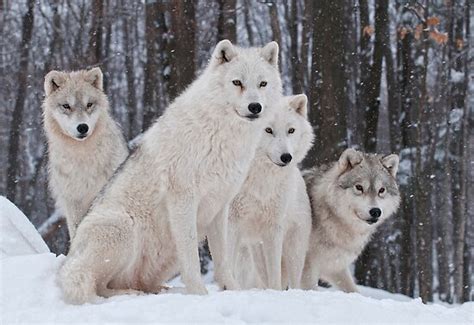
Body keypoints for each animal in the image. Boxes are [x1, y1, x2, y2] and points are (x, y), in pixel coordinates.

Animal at [230, 93, 314, 288]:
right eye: (268, 130)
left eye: (291, 130)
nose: (286, 157)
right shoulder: (231, 223)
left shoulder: (274, 228)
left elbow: (275, 275)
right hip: (253, 253)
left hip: (293, 251)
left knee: (292, 281)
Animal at [300, 148, 400, 292]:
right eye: (359, 187)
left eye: (381, 190)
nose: (375, 211)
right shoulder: (307, 265)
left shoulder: (335, 267)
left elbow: (353, 290)